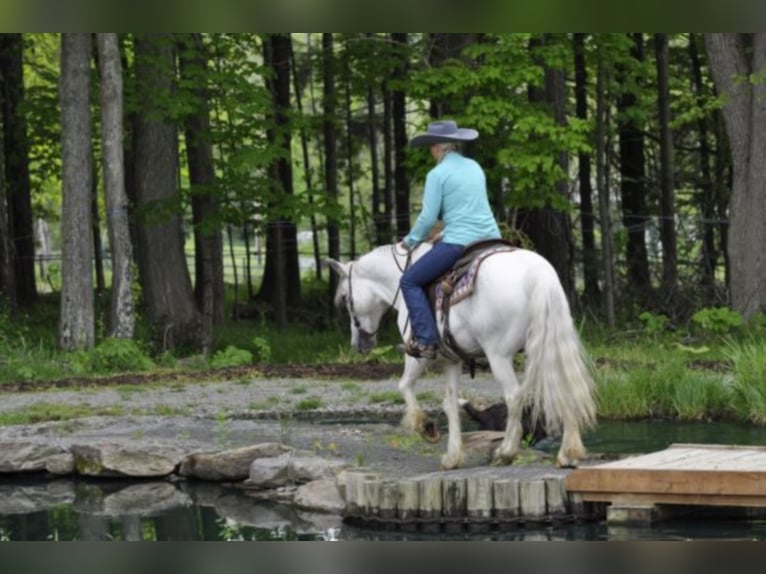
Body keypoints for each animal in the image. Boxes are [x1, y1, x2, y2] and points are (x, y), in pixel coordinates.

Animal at [328, 241, 596, 470]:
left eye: (344, 298)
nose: (359, 344)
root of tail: (538, 273)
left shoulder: (418, 355)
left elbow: (404, 385)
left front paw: (425, 426)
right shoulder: (452, 360)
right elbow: (450, 403)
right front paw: (452, 457)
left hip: (498, 355)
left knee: (514, 396)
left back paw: (506, 452)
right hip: (549, 343)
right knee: (562, 388)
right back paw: (568, 454)